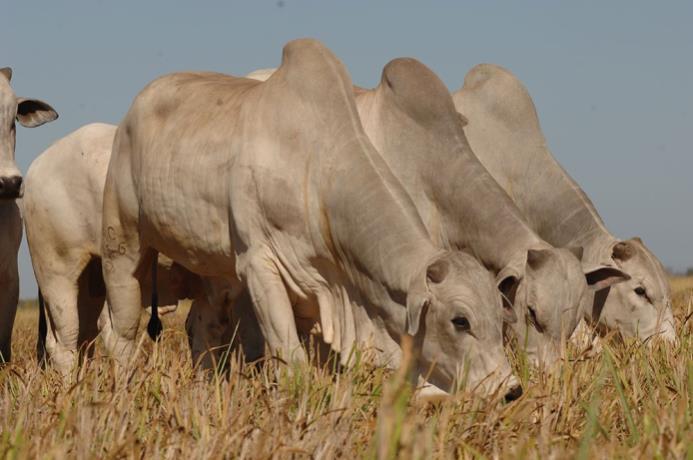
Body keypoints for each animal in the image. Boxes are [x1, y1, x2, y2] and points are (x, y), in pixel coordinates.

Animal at [97, 39, 520, 398]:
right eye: (460, 320)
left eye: (499, 312)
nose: (511, 390)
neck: (317, 173)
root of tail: (139, 104)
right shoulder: (259, 266)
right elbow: (291, 362)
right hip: (123, 241)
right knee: (121, 331)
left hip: (213, 267)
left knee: (203, 329)